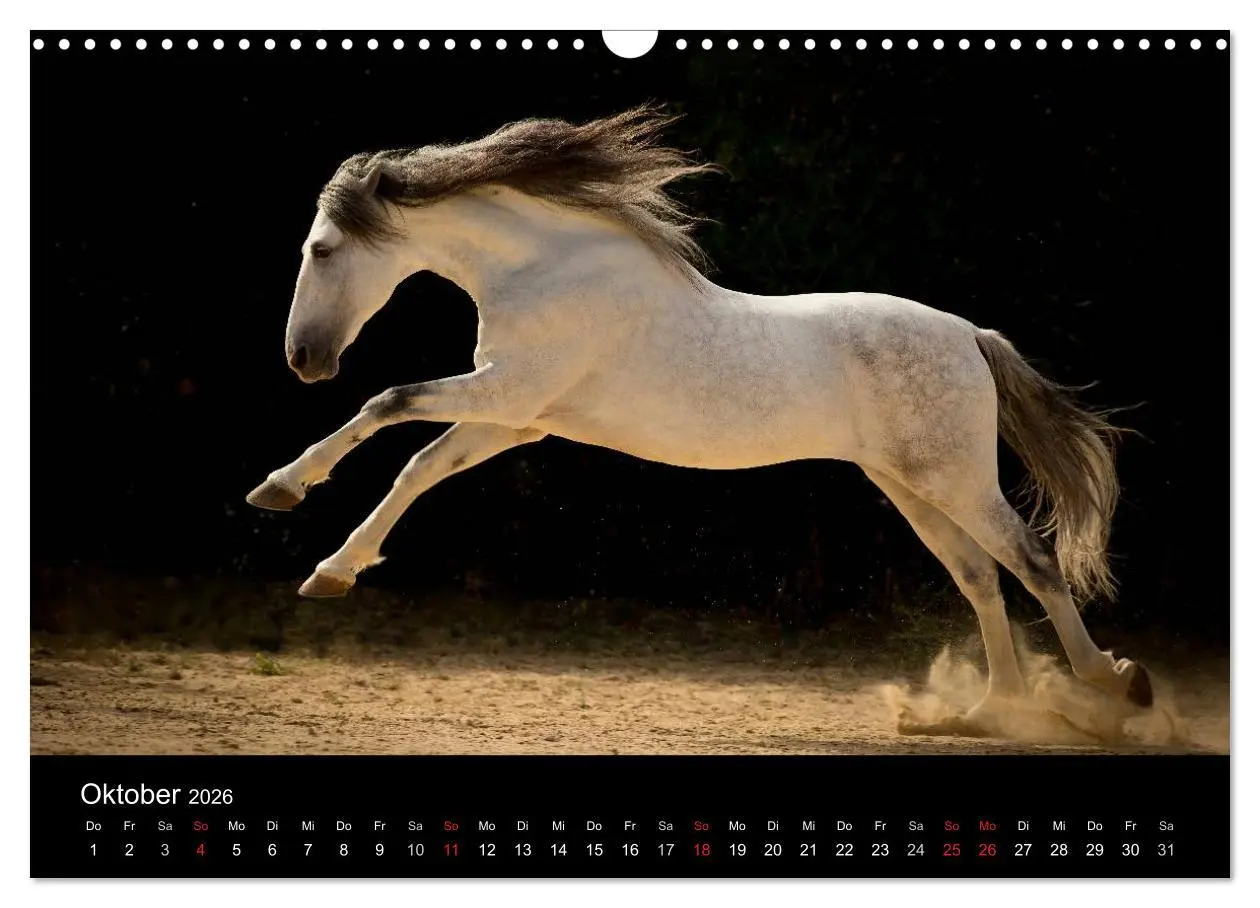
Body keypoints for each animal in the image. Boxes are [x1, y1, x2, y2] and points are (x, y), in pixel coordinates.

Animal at [245, 103, 1153, 734]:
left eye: (321, 250)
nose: (303, 359)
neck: (548, 268)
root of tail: (969, 335)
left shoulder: (504, 395)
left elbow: (386, 403)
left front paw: (281, 491)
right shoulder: (515, 415)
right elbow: (418, 466)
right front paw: (330, 569)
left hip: (954, 479)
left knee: (1032, 559)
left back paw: (1114, 684)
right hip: (912, 486)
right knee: (979, 577)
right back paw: (988, 713)